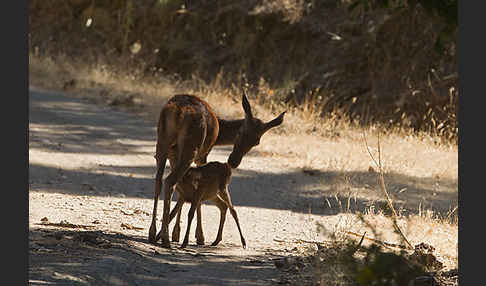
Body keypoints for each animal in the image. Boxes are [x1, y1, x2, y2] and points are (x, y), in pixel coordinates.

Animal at [148, 91, 284, 248]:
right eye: (239, 132)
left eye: (256, 142)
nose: (233, 161)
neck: (219, 134)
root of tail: (177, 112)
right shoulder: (203, 154)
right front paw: (199, 236)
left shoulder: (173, 154)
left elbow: (181, 194)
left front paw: (176, 233)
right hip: (191, 147)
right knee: (170, 181)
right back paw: (165, 238)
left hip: (162, 142)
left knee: (159, 180)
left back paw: (152, 233)